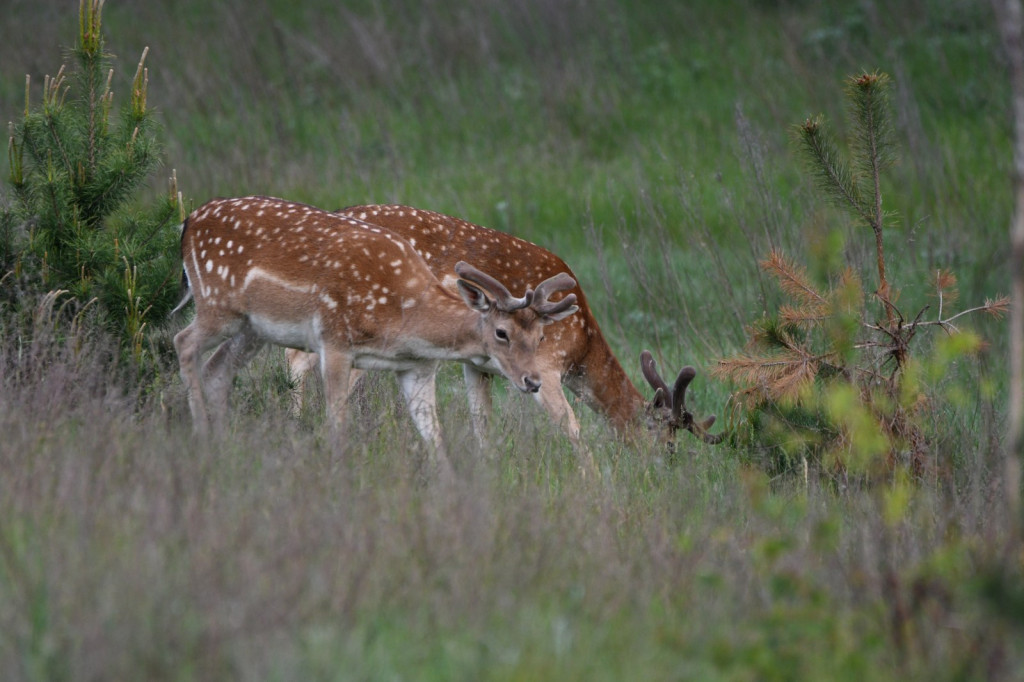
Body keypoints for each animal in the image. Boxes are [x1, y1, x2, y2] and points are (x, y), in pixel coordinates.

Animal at [172, 196, 581, 473]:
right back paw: (202, 437)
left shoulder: (417, 368)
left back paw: (223, 446)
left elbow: (435, 437)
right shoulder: (335, 340)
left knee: (217, 369)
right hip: (217, 304)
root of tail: (188, 222)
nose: (532, 381)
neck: (403, 318)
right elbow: (337, 424)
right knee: (183, 342)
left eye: (540, 338)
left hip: (251, 329)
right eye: (501, 332)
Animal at [284, 201, 724, 456]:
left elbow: (483, 421)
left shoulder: (478, 366)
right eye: (669, 443)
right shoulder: (546, 365)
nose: (664, 467)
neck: (580, 343)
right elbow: (571, 427)